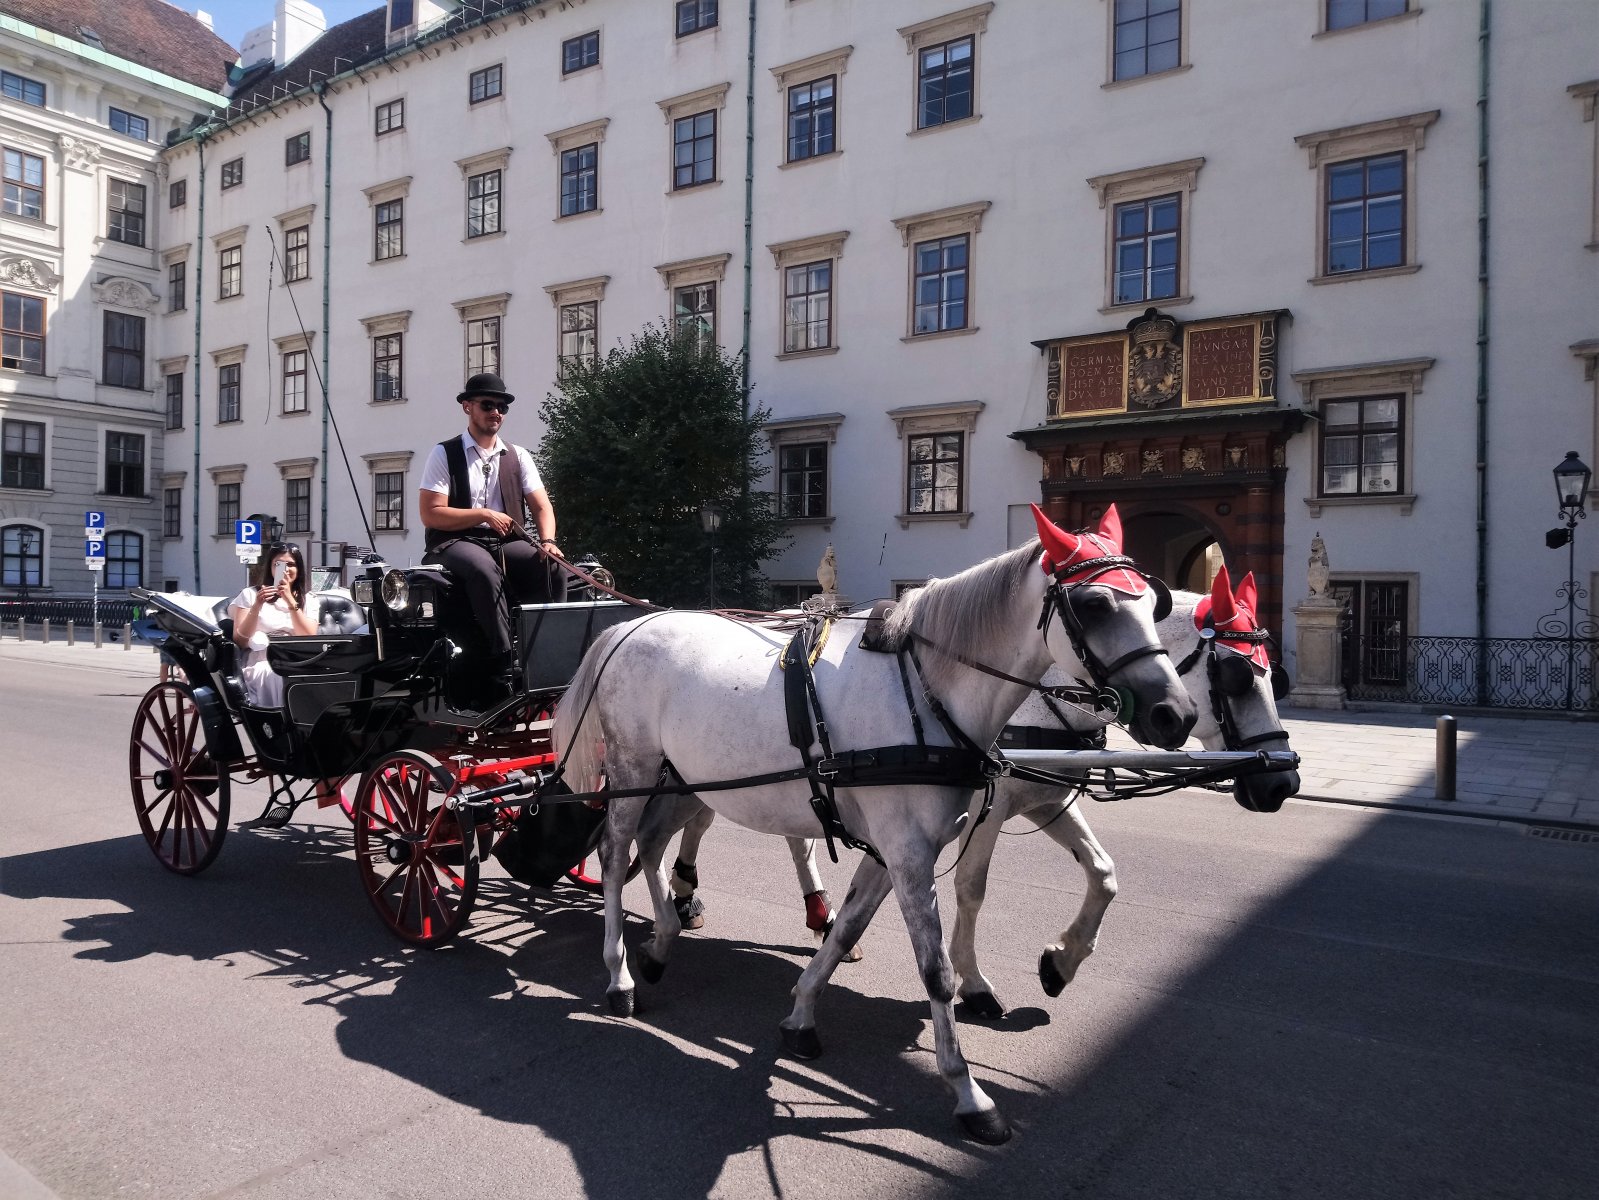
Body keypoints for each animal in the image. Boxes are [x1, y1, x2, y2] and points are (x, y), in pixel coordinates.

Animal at [556, 508, 1196, 1145]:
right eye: (1095, 604)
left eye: (1153, 603)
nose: (1176, 714)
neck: (929, 691)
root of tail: (631, 627)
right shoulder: (910, 853)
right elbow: (935, 972)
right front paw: (969, 1094)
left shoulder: (894, 850)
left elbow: (847, 929)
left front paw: (802, 1014)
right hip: (636, 768)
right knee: (615, 854)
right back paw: (619, 976)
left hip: (685, 780)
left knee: (652, 844)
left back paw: (663, 940)